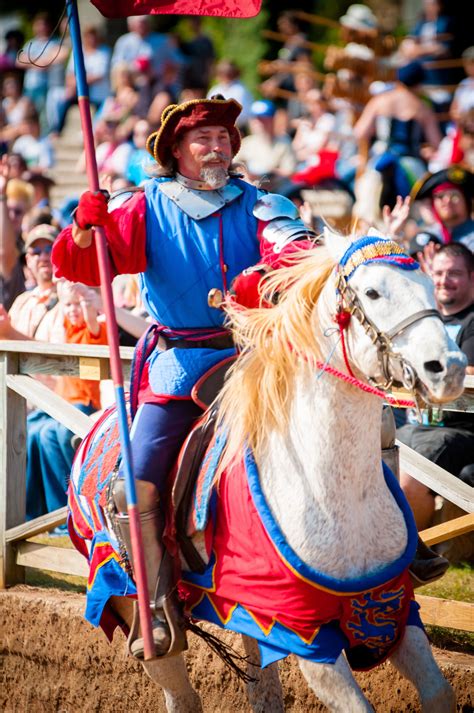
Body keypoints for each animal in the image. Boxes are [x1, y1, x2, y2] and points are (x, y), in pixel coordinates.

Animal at [68, 231, 464, 708]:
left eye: (430, 287)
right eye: (372, 292)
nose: (450, 369)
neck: (333, 489)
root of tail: (94, 431)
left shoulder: (391, 609)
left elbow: (439, 693)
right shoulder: (308, 639)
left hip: (248, 616)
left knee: (264, 691)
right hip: (126, 597)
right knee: (178, 686)